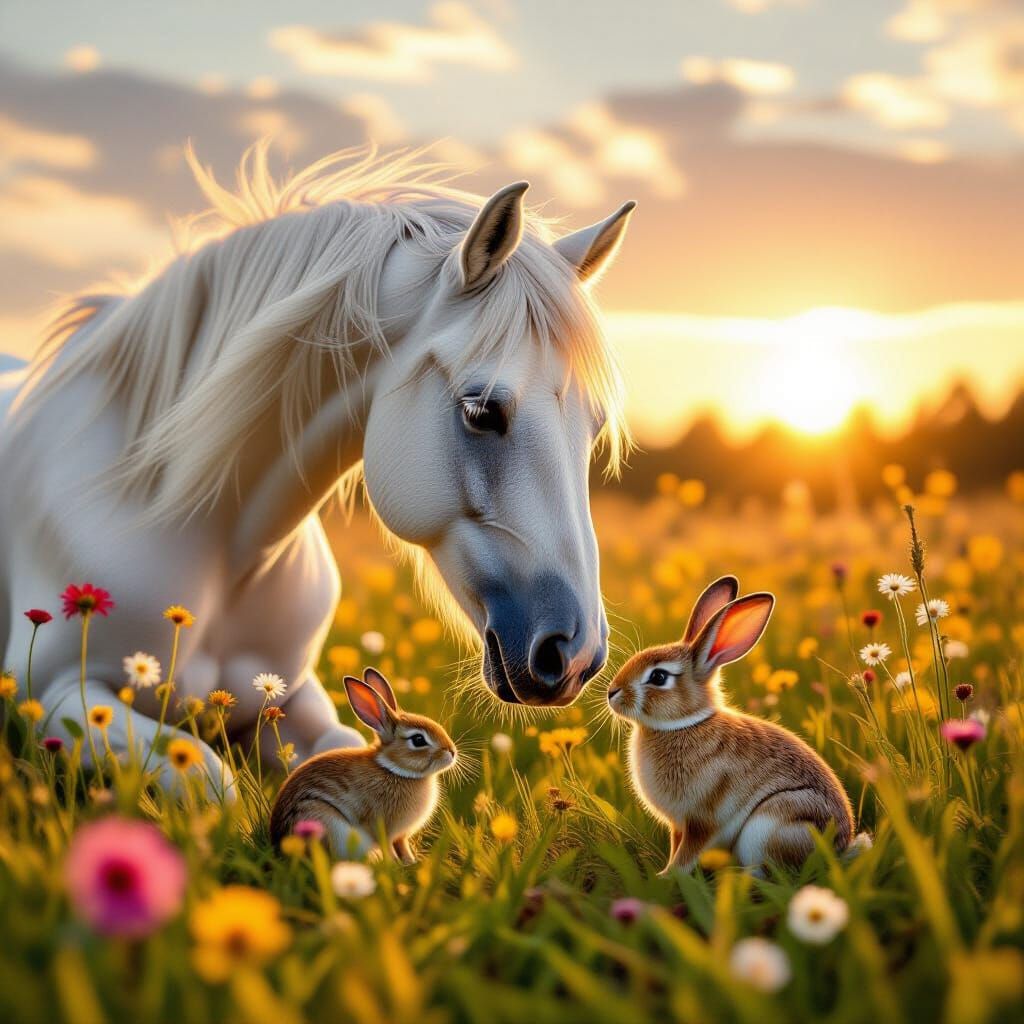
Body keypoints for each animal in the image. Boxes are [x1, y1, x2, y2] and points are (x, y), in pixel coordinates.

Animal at [0, 145, 635, 790]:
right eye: (481, 411)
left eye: (594, 426)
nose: (576, 655)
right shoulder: (56, 695)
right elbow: (210, 780)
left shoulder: (291, 698)